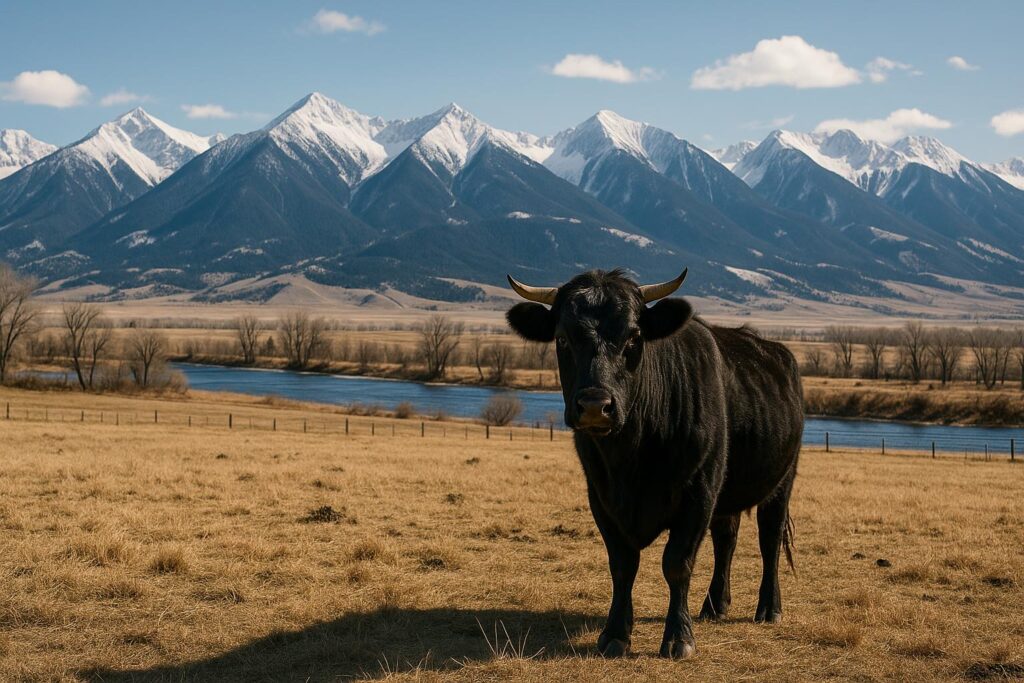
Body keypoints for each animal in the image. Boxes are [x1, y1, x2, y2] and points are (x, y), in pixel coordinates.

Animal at [505, 267, 803, 659]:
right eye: (562, 338)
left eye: (634, 337)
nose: (595, 405)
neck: (632, 457)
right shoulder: (601, 497)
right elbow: (622, 565)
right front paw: (615, 634)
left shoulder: (699, 493)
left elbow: (677, 564)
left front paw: (679, 638)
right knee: (726, 539)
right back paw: (714, 606)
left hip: (781, 481)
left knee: (769, 539)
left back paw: (769, 608)